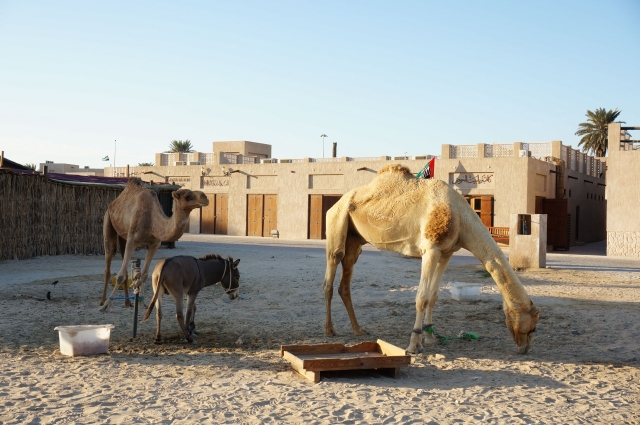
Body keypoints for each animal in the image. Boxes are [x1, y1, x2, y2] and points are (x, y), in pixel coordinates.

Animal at [100, 178, 209, 308]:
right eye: (187, 196)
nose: (205, 197)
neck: (152, 221)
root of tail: (112, 204)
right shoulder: (132, 240)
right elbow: (121, 275)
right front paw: (107, 305)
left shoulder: (154, 244)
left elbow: (144, 275)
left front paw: (142, 302)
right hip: (108, 220)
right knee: (109, 257)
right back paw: (102, 301)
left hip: (123, 236)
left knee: (123, 258)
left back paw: (128, 303)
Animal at [322, 164, 536, 352]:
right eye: (532, 328)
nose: (524, 349)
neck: (461, 217)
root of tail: (336, 203)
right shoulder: (430, 249)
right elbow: (422, 297)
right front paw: (414, 345)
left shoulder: (446, 252)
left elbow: (433, 296)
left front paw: (431, 337)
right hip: (337, 221)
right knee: (332, 269)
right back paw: (329, 330)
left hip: (354, 240)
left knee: (346, 277)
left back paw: (358, 330)